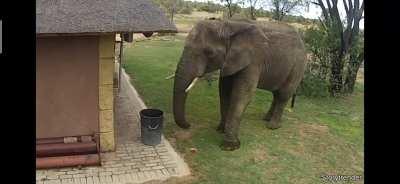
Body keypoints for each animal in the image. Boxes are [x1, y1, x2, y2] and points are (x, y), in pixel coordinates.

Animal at [172, 18, 306, 151]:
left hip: (298, 65)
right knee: (276, 94)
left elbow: (241, 95)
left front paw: (229, 146)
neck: (228, 25)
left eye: (209, 53)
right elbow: (224, 92)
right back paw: (266, 119)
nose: (189, 124)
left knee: (283, 94)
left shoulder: (253, 60)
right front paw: (220, 130)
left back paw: (272, 126)